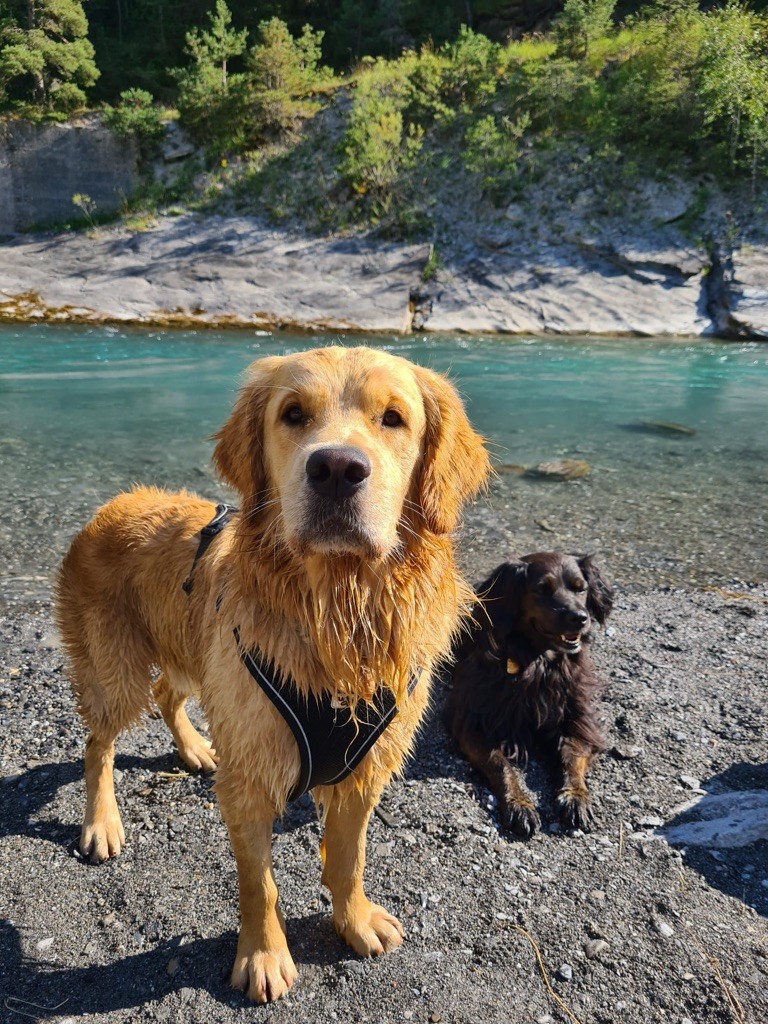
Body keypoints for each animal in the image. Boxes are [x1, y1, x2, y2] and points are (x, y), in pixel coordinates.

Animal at [444, 557, 614, 835]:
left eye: (581, 588)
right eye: (542, 589)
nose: (579, 618)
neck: (538, 662)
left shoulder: (579, 721)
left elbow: (572, 757)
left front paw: (575, 796)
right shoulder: (474, 723)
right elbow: (500, 764)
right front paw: (519, 804)